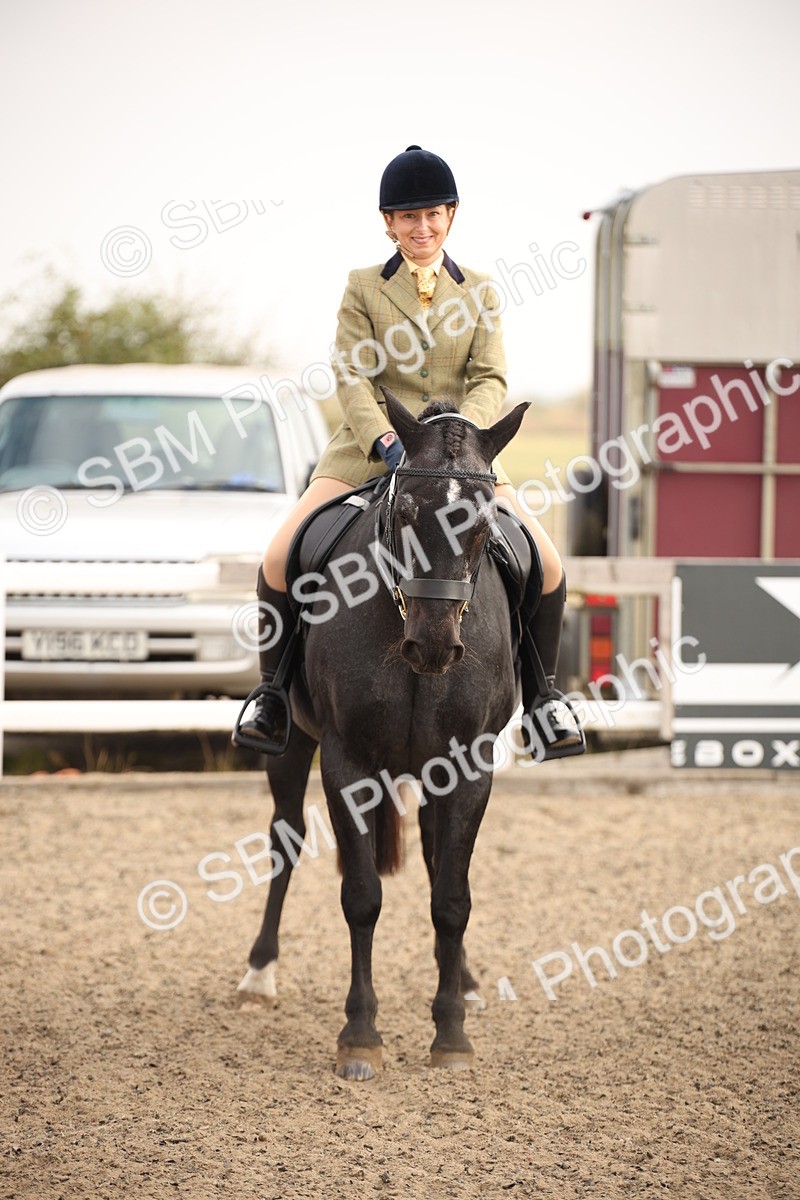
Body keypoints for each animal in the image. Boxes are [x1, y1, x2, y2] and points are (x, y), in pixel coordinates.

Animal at [236, 388, 531, 1078]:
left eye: (482, 526)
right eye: (406, 510)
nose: (434, 646)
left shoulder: (468, 765)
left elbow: (452, 895)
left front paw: (450, 1034)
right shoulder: (347, 761)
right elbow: (362, 895)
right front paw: (360, 1035)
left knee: (432, 857)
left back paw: (465, 982)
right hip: (291, 747)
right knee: (285, 839)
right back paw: (260, 973)